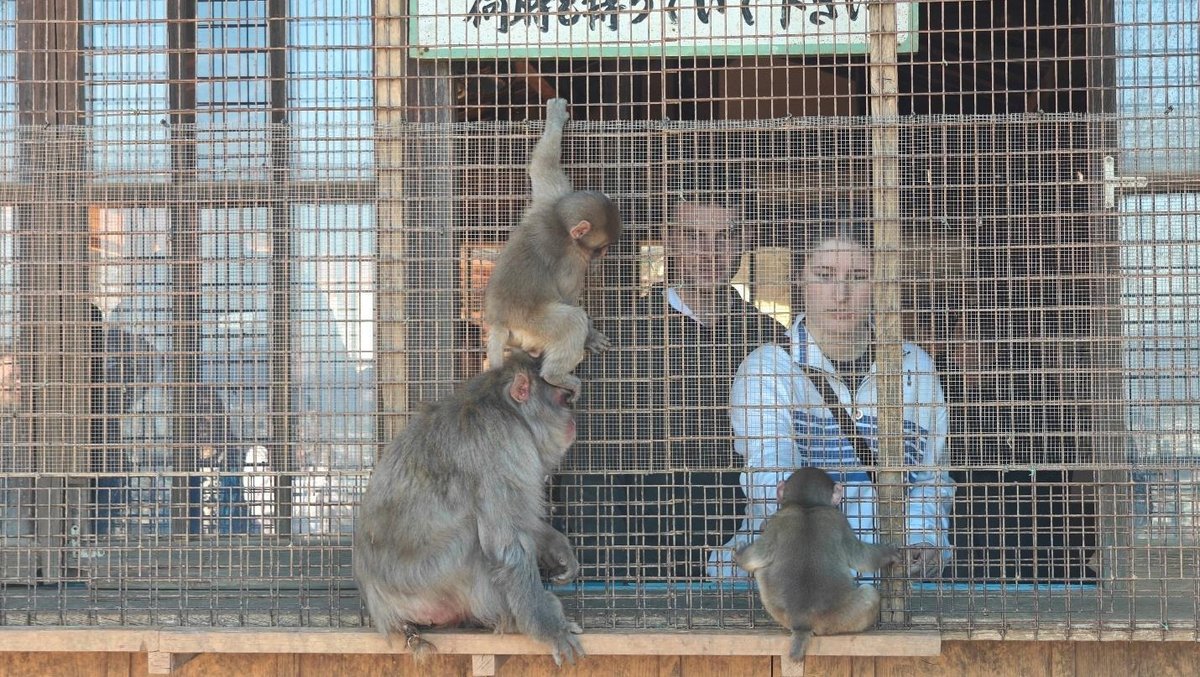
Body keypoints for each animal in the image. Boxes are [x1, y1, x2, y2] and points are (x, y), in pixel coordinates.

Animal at [353, 351, 584, 666]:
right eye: (563, 399)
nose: (572, 420)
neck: (507, 409)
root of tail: (385, 615)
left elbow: (522, 521)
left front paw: (557, 548)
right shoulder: (502, 444)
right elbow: (506, 546)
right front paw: (548, 627)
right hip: (432, 583)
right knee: (473, 541)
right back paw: (511, 619)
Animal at [483, 97, 623, 399]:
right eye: (601, 247)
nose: (605, 255)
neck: (559, 222)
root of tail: (499, 321)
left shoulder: (551, 200)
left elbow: (542, 166)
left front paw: (555, 117)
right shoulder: (573, 259)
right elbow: (567, 296)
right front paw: (590, 336)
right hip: (534, 325)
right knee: (570, 319)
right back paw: (557, 375)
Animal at [735, 466, 902, 664]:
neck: (807, 505)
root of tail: (803, 623)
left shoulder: (775, 521)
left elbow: (754, 558)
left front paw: (739, 553)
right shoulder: (838, 520)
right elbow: (861, 557)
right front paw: (888, 554)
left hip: (781, 610)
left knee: (761, 571)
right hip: (840, 618)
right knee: (870, 593)